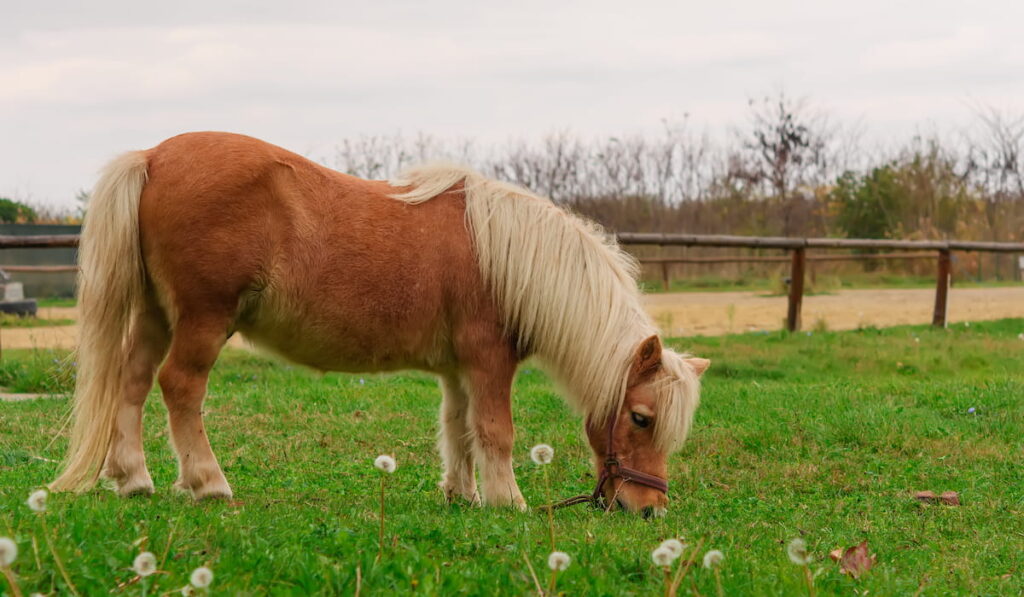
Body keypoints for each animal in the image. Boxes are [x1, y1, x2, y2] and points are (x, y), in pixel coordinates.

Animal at [51, 133, 708, 516]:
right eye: (641, 418)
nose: (650, 509)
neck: (510, 259)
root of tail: (154, 157)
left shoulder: (458, 370)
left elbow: (458, 429)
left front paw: (463, 494)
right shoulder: (488, 362)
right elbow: (495, 431)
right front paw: (508, 501)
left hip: (157, 315)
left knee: (132, 382)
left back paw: (133, 479)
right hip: (203, 320)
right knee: (179, 387)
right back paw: (208, 483)